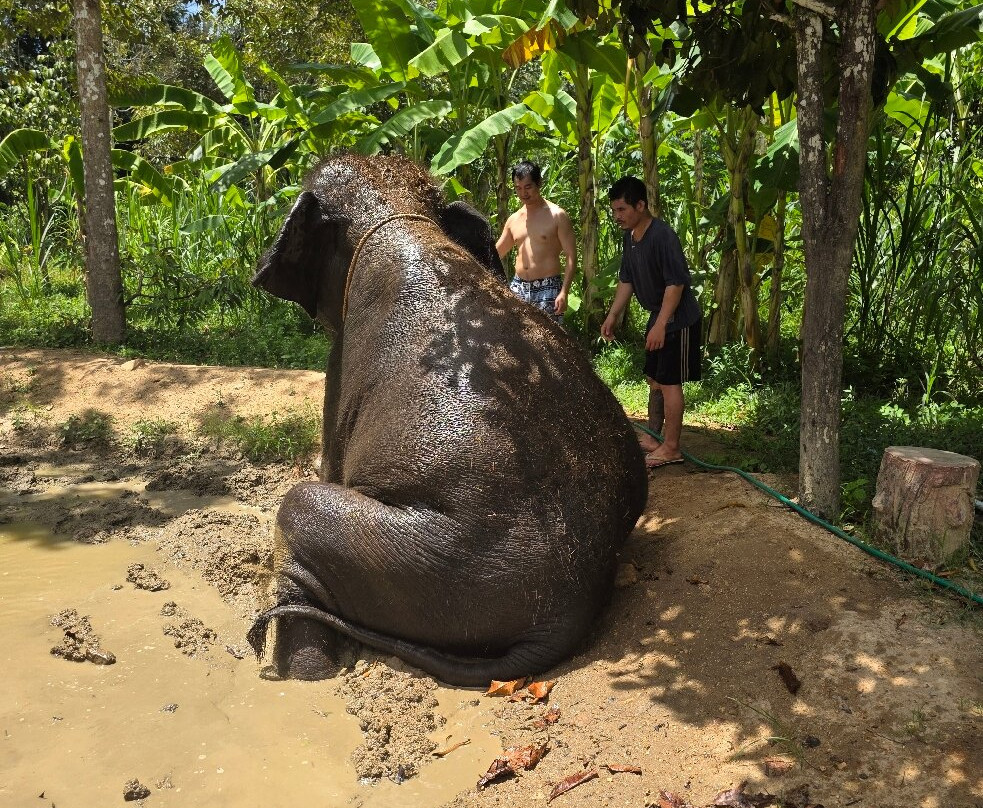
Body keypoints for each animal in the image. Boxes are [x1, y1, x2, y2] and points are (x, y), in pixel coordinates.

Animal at [247, 153, 648, 687]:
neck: (396, 212)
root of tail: (568, 609)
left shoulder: (340, 369)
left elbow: (328, 465)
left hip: (431, 568)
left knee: (299, 508)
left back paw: (294, 663)